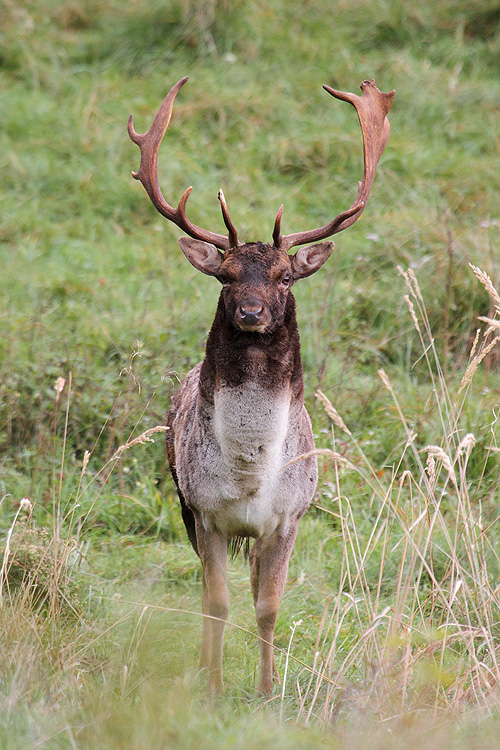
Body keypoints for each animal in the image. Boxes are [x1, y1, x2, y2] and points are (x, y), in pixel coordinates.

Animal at [129, 73, 394, 696]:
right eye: (225, 277)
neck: (251, 474)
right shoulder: (204, 512)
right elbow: (216, 603)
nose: (251, 312)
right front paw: (214, 683)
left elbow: (268, 606)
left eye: (284, 276)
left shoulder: (289, 518)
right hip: (182, 503)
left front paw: (269, 689)